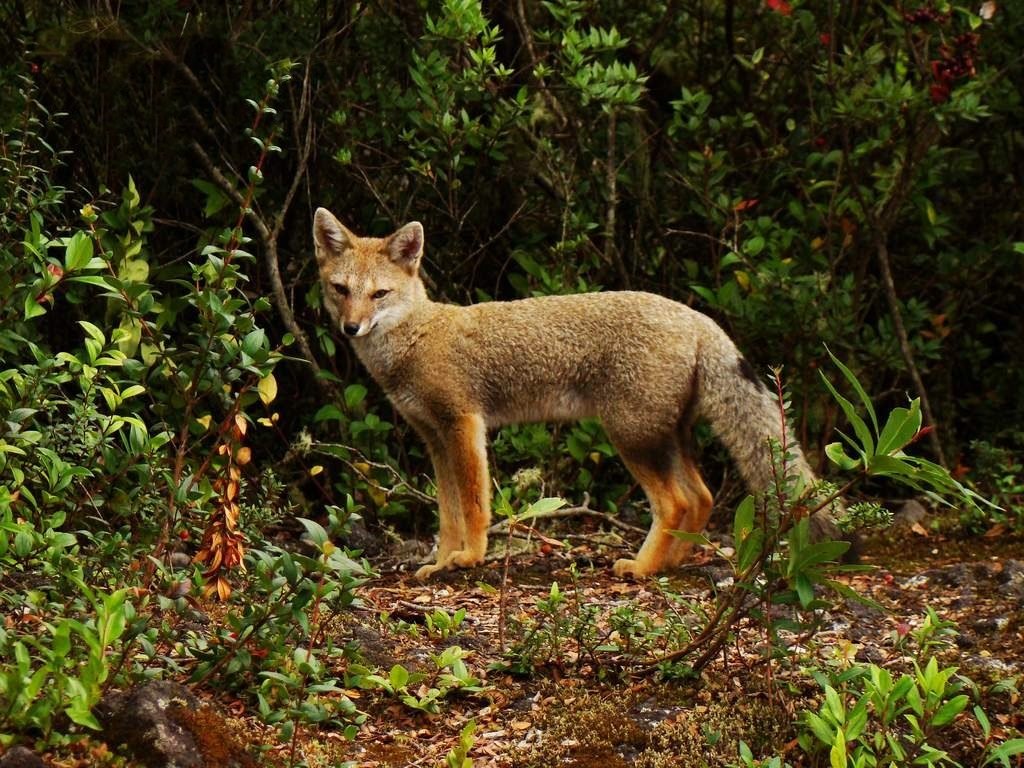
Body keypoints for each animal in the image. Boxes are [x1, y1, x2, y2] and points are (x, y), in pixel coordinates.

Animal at [313, 207, 839, 581]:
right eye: (341, 289)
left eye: (379, 294)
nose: (351, 327)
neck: (416, 338)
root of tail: (697, 317)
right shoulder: (435, 440)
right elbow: (448, 514)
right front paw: (441, 562)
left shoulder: (463, 425)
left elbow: (475, 507)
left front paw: (471, 558)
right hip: (664, 438)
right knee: (702, 496)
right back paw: (670, 563)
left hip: (632, 438)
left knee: (676, 501)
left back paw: (642, 568)